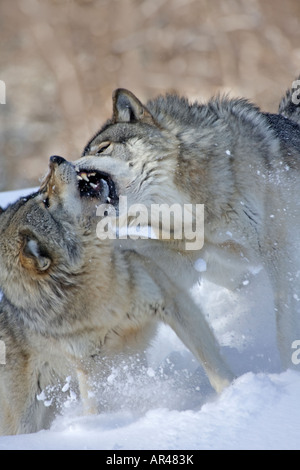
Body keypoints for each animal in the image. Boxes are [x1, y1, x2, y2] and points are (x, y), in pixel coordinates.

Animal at [0, 156, 232, 436]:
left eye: (40, 194)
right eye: (45, 200)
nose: (55, 159)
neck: (101, 291)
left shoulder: (172, 301)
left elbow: (213, 366)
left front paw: (234, 394)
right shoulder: (90, 368)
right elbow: (96, 406)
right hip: (25, 422)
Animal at [74, 81, 300, 374]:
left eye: (101, 149)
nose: (60, 164)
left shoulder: (278, 253)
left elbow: (284, 321)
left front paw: (289, 372)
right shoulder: (191, 256)